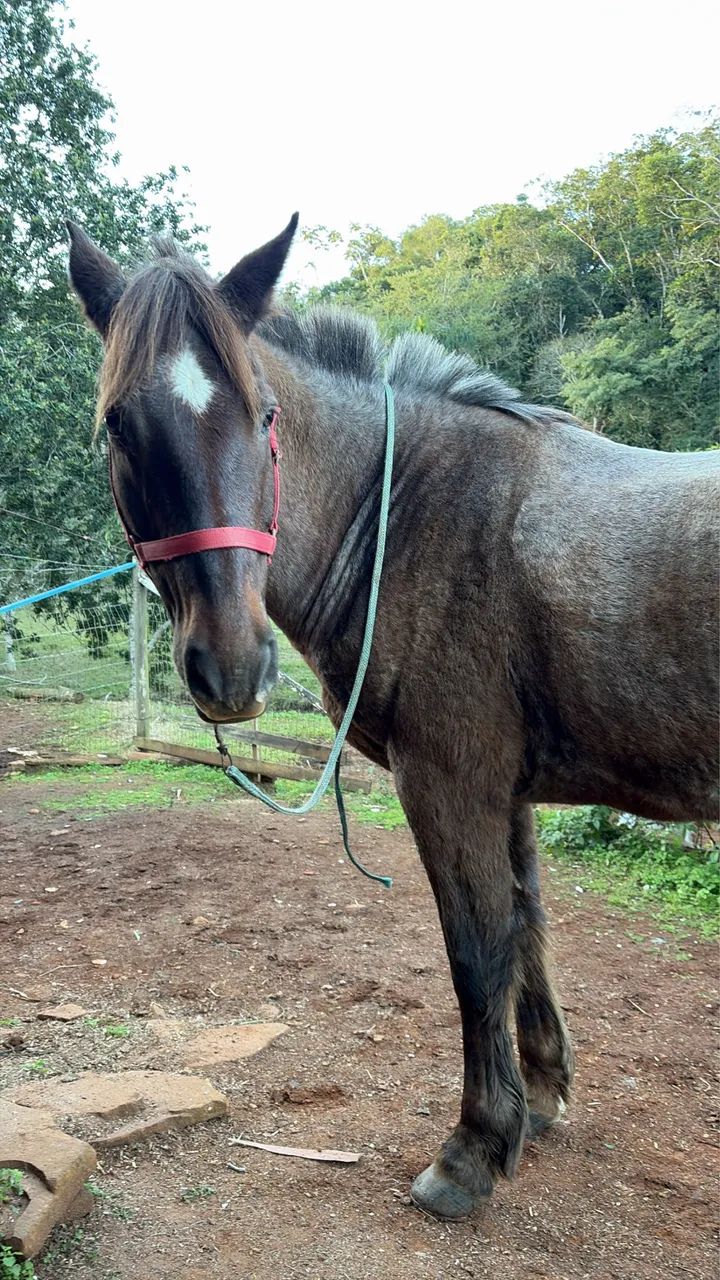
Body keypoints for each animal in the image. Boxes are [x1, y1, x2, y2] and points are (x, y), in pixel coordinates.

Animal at [67, 216, 719, 1221]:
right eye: (117, 425)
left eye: (266, 417)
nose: (233, 665)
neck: (406, 516)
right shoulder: (507, 793)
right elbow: (528, 927)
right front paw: (541, 1097)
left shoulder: (448, 783)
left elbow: (478, 953)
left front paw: (474, 1150)